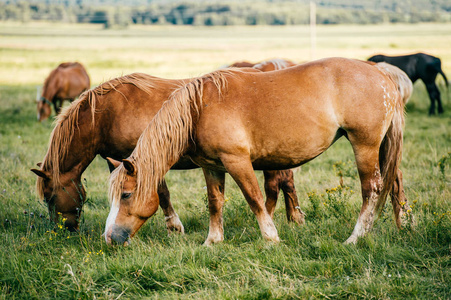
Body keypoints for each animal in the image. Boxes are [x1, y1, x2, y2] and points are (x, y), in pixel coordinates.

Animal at [30, 72, 304, 232]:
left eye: (50, 197)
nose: (63, 230)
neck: (107, 114)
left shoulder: (141, 161)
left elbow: (160, 193)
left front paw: (174, 226)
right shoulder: (120, 161)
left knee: (278, 184)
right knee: (284, 182)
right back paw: (294, 218)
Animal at [105, 57, 414, 247]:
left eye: (126, 194)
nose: (109, 238)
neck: (199, 108)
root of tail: (380, 72)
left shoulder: (237, 161)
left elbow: (253, 197)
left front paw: (271, 237)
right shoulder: (211, 166)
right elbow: (215, 202)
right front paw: (212, 241)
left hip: (365, 145)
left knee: (372, 189)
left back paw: (356, 238)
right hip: (382, 146)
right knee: (393, 181)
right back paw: (404, 226)